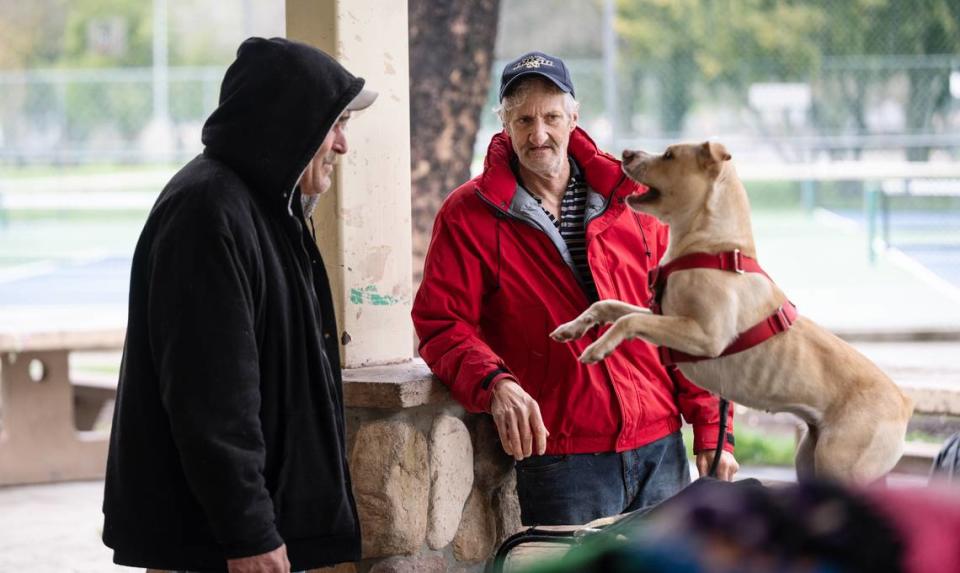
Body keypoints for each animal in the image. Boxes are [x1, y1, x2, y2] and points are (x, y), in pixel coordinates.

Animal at [552, 141, 912, 480]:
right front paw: (573, 328)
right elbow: (611, 305)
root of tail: (905, 402)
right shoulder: (665, 316)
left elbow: (629, 319)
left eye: (669, 155)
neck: (714, 247)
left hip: (840, 462)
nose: (626, 152)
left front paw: (598, 349)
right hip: (810, 458)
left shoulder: (704, 336)